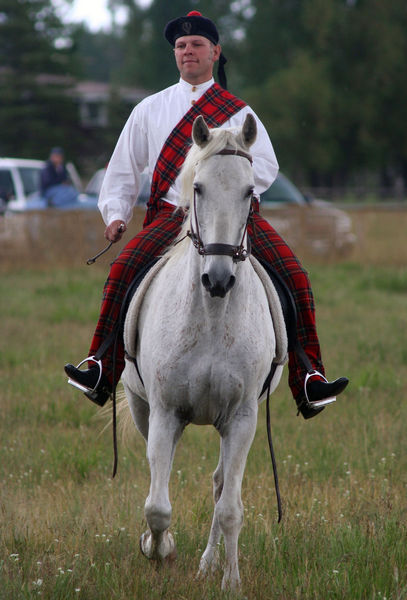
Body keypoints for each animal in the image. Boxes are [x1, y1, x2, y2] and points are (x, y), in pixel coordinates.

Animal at [121, 113, 286, 592]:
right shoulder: (164, 412)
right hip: (141, 407)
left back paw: (210, 562)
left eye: (250, 191)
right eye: (198, 188)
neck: (211, 315)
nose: (218, 278)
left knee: (219, 485)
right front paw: (158, 551)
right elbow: (157, 505)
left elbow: (230, 507)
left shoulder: (242, 418)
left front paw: (230, 581)